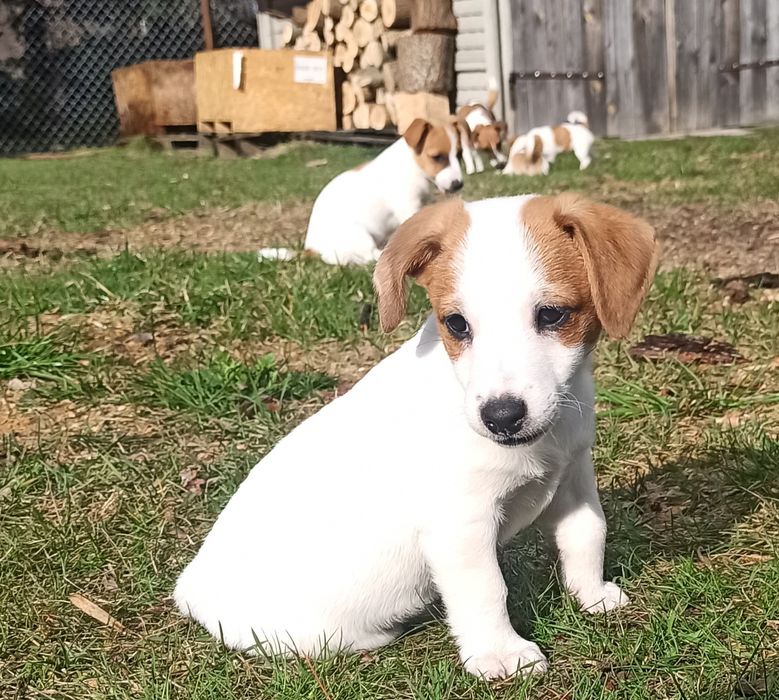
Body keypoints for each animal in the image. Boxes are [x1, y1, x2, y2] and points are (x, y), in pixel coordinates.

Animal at [175, 191, 660, 680]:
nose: (501, 417)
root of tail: (191, 589)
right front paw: (500, 654)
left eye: (553, 314)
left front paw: (592, 594)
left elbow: (587, 534)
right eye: (457, 324)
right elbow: (487, 589)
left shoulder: (574, 476)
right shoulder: (459, 523)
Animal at [258, 120, 464, 266]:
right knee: (365, 257)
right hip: (360, 235)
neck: (413, 166)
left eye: (459, 155)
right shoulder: (408, 207)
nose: (458, 184)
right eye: (437, 157)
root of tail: (311, 249)